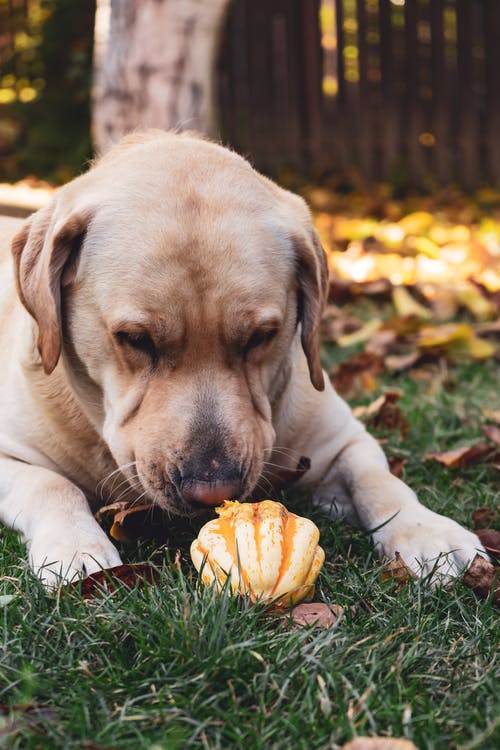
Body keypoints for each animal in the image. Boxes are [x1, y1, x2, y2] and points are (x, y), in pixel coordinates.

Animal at [0, 131, 484, 588]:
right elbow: (52, 484)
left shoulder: (344, 440)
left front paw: (430, 533)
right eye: (135, 339)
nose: (212, 491)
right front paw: (76, 548)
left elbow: (378, 479)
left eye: (262, 336)